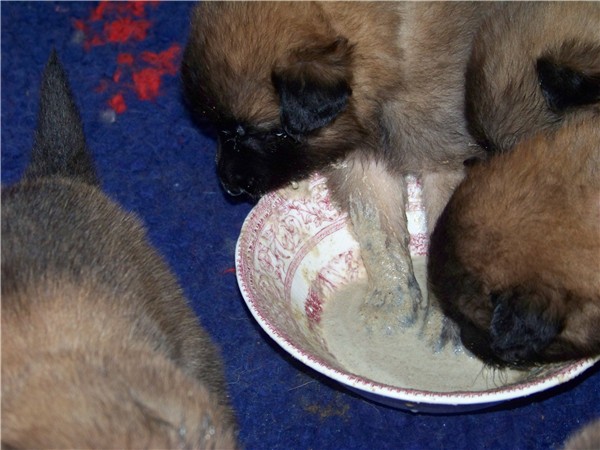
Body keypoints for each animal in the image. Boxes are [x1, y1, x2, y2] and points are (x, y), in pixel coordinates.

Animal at [180, 2, 500, 334]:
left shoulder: (449, 160)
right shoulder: (367, 164)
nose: (228, 185)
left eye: (264, 134)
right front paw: (390, 306)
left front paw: (441, 324)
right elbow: (379, 233)